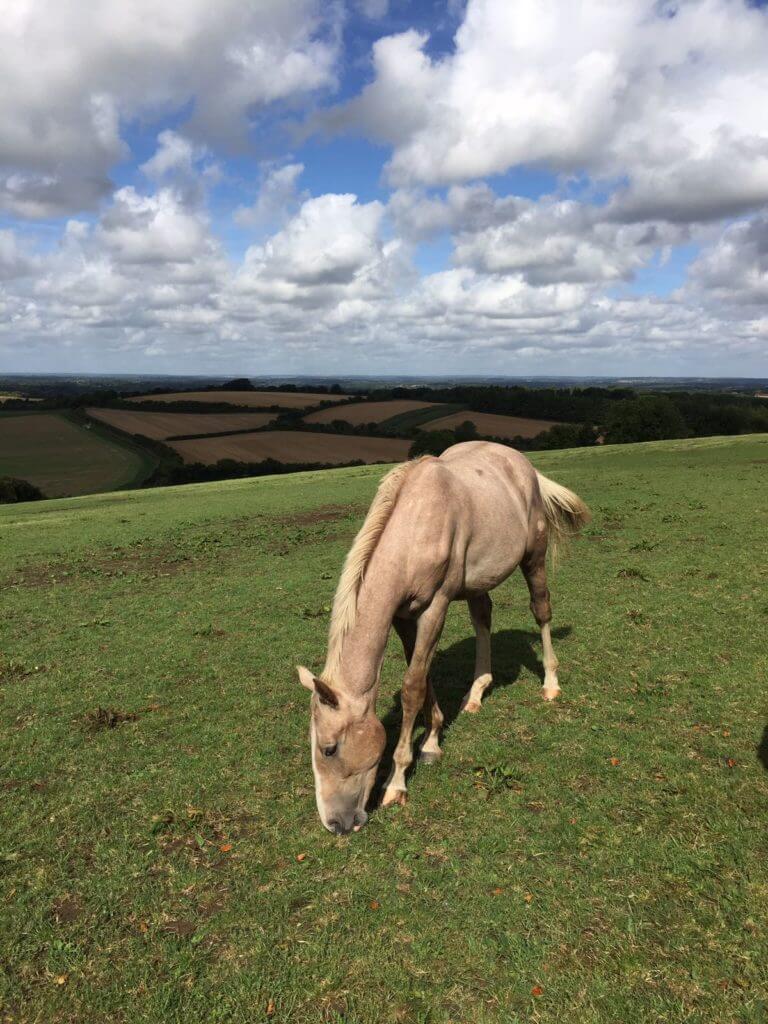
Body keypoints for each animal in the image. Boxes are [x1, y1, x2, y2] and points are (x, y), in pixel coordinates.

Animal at [297, 441, 590, 835]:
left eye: (329, 748)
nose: (335, 824)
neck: (415, 528)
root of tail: (523, 464)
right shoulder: (404, 617)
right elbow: (422, 677)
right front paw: (432, 742)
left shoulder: (436, 606)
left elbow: (412, 687)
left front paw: (397, 782)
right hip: (479, 581)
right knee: (483, 619)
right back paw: (476, 693)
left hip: (534, 556)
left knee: (541, 611)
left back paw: (550, 683)